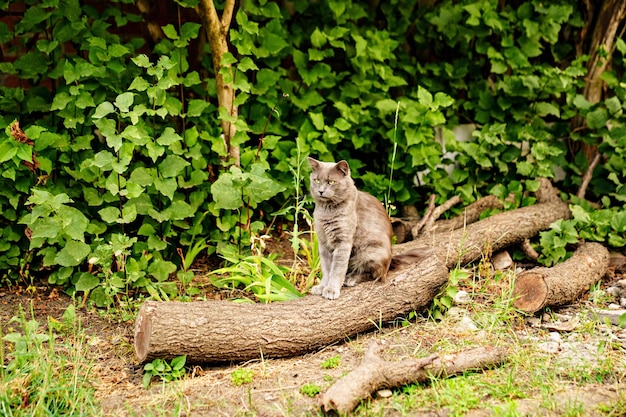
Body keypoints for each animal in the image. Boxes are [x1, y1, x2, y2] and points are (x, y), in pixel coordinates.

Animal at [308, 157, 420, 300]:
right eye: (316, 180)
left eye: (331, 182)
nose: (321, 191)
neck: (327, 211)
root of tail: (391, 259)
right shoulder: (323, 242)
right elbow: (327, 269)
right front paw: (322, 287)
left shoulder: (343, 242)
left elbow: (337, 269)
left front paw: (331, 290)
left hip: (372, 251)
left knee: (376, 275)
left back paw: (351, 278)